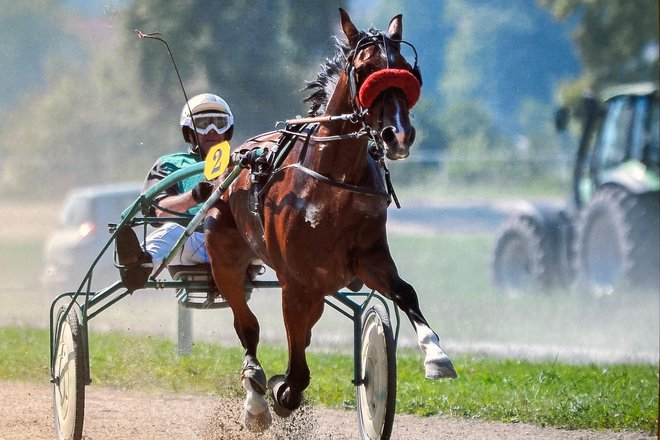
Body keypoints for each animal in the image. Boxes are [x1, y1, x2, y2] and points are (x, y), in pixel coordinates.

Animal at [204, 7, 456, 430]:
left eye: (405, 68)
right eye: (365, 68)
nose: (398, 135)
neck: (331, 182)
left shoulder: (368, 259)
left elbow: (405, 292)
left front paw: (436, 356)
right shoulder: (296, 282)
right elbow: (296, 367)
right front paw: (281, 392)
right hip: (224, 257)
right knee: (247, 325)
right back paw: (256, 397)